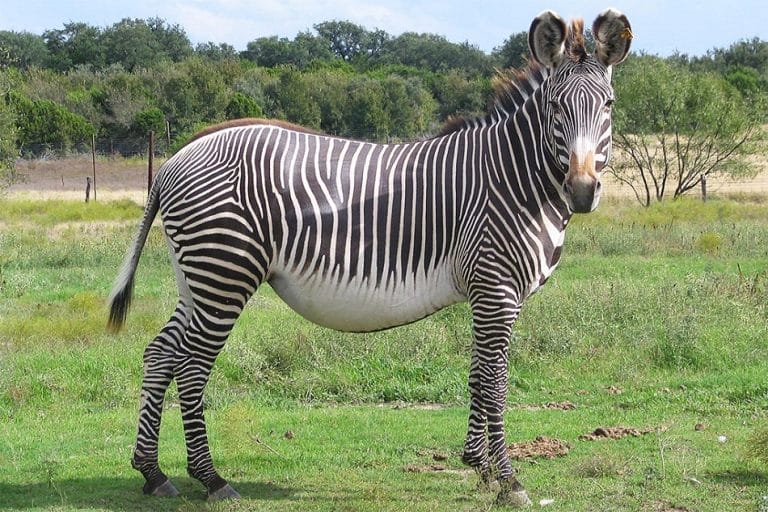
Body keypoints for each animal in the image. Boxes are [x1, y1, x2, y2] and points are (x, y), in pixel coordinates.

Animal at [107, 9, 632, 507]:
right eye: (555, 107)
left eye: (607, 105)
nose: (583, 191)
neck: (515, 179)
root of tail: (176, 158)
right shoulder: (497, 288)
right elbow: (496, 381)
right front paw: (507, 480)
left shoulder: (489, 293)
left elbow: (477, 376)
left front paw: (478, 467)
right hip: (224, 273)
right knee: (192, 366)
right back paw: (211, 478)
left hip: (196, 278)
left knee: (160, 353)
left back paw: (153, 473)